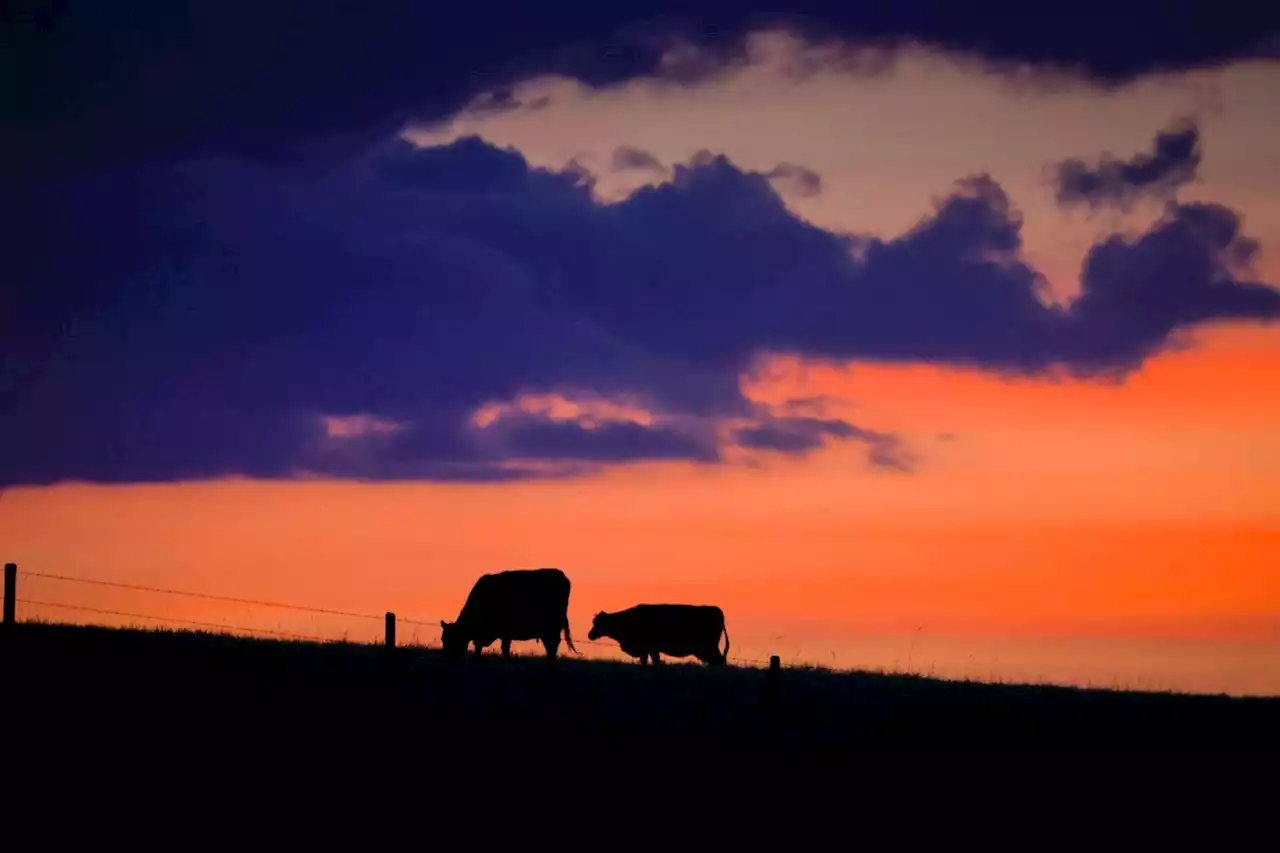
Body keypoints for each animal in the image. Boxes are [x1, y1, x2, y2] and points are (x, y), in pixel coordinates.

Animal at [440, 568, 581, 660]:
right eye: (443, 639)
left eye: (453, 638)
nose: (449, 657)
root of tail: (562, 576)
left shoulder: (504, 632)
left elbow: (502, 648)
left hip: (551, 628)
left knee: (552, 645)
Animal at [586, 604, 732, 666]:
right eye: (594, 622)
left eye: (599, 623)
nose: (590, 634)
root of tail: (717, 610)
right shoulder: (648, 650)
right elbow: (648, 660)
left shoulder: (649, 648)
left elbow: (653, 660)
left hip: (709, 647)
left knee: (720, 660)